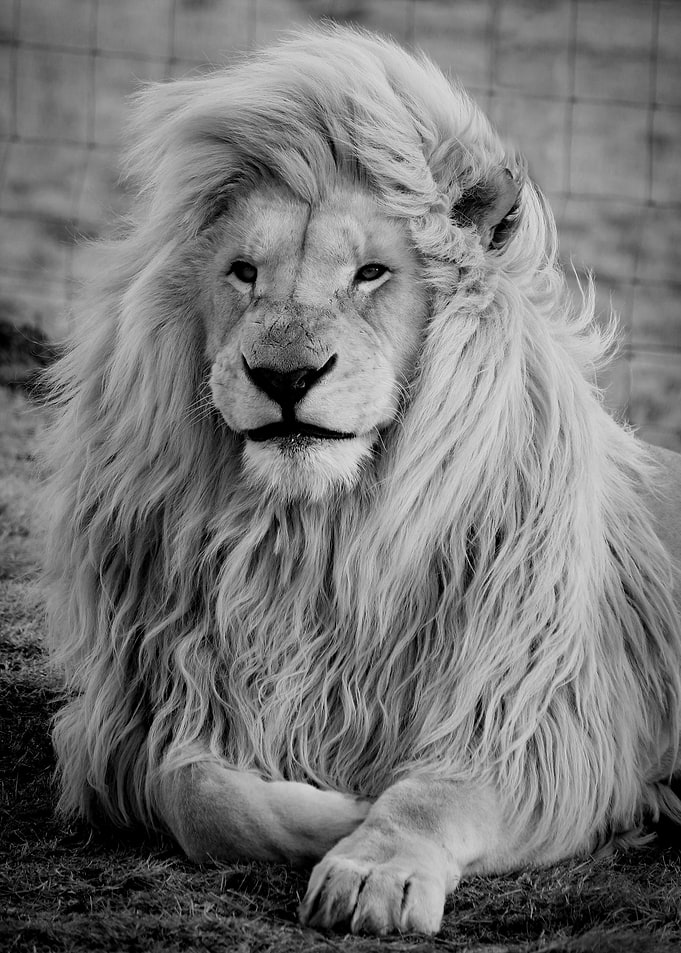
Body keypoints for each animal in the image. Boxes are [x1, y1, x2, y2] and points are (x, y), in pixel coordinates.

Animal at [44, 25, 681, 936]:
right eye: (243, 271)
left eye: (371, 273)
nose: (283, 375)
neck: (314, 539)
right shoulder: (148, 712)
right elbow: (199, 793)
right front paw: (335, 809)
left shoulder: (534, 725)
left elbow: (430, 794)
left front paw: (370, 864)